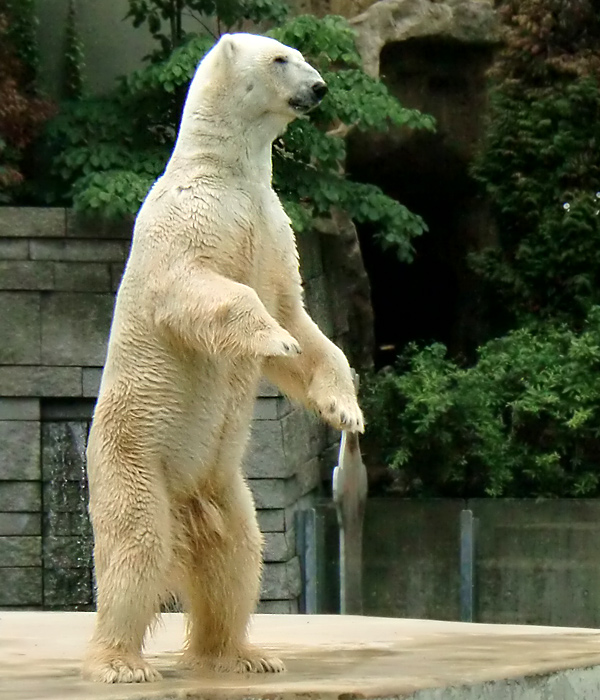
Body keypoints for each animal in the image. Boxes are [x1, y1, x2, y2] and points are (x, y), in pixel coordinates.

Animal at [82, 32, 364, 684]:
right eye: (281, 59)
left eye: (300, 56)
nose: (320, 88)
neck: (228, 171)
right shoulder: (193, 218)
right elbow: (196, 287)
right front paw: (272, 340)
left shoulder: (272, 226)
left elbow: (300, 317)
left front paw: (343, 409)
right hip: (133, 457)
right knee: (137, 547)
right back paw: (122, 663)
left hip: (224, 486)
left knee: (237, 555)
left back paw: (242, 653)